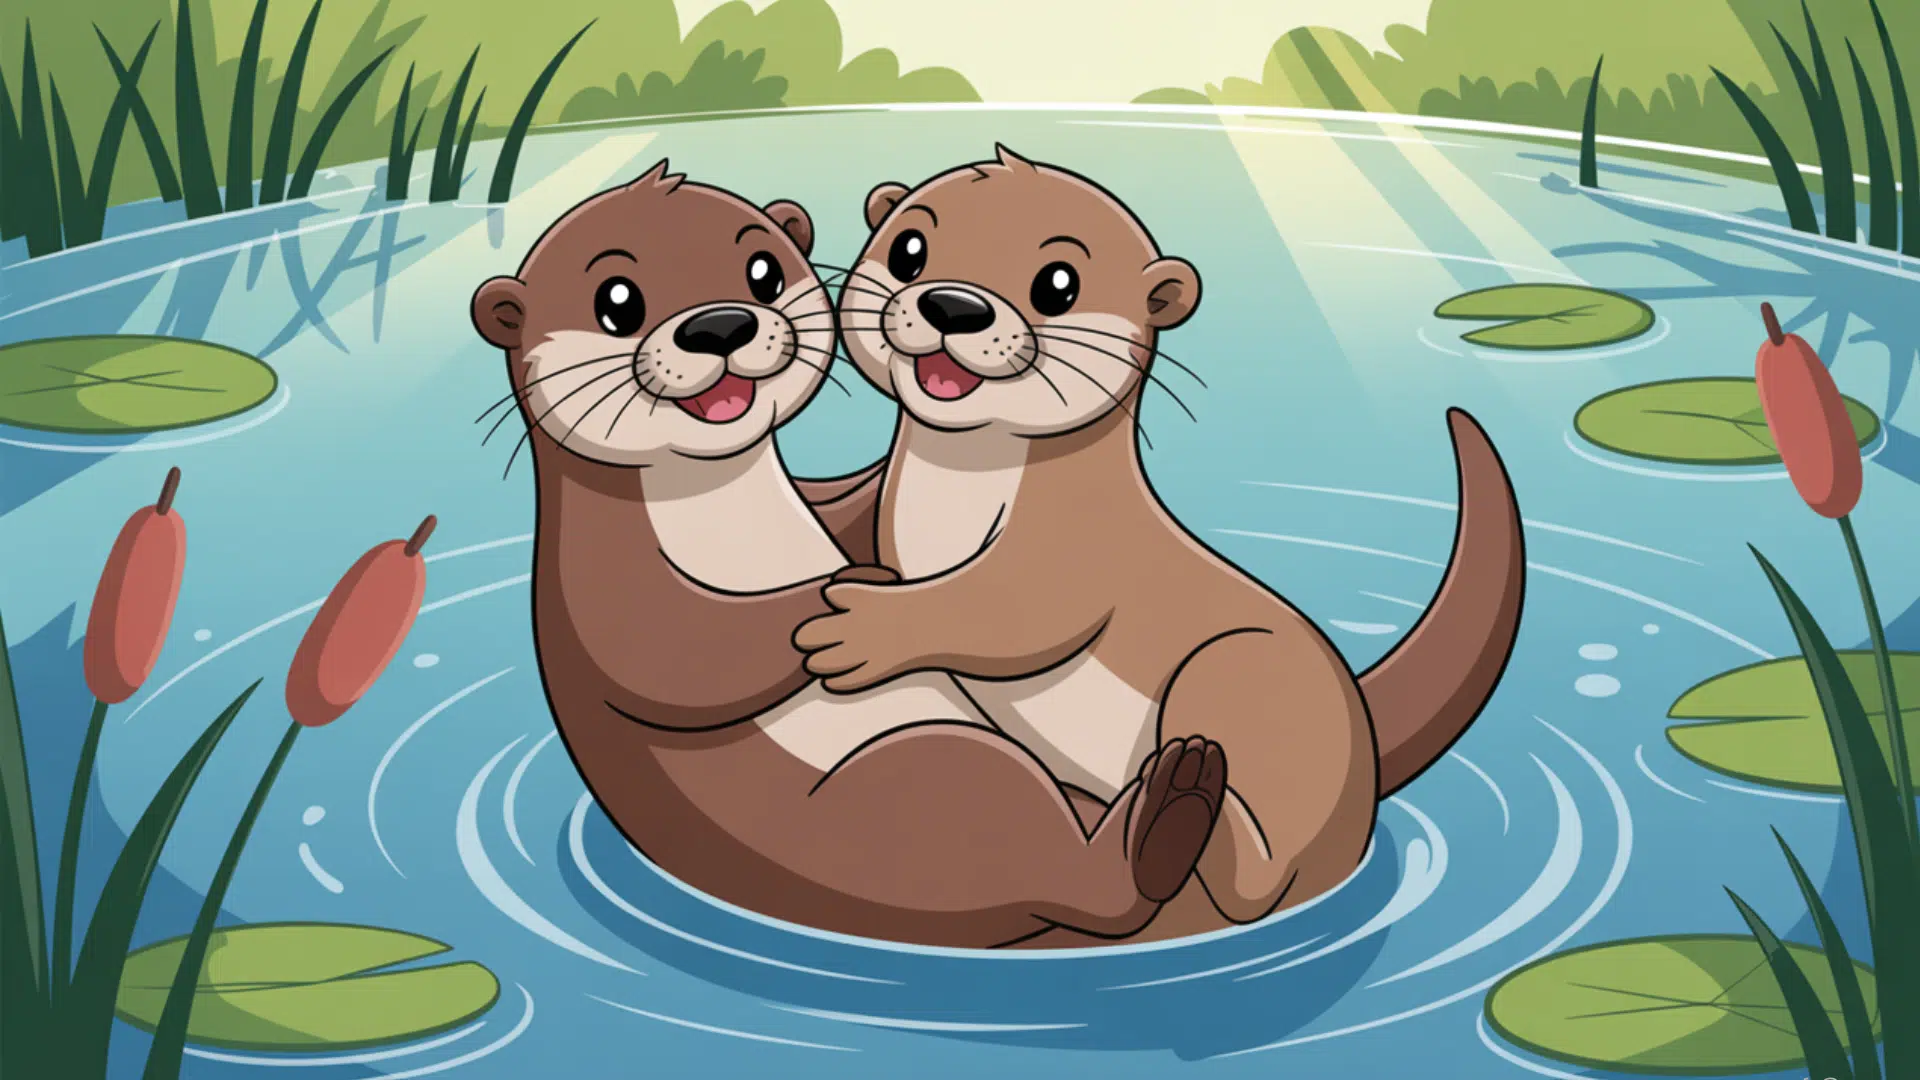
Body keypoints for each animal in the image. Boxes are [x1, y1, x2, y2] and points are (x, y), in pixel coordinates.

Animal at [469, 160, 1228, 949]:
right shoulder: (597, 580)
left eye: (763, 273)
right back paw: (1162, 820)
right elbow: (671, 657)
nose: (720, 324)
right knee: (1066, 876)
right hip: (916, 785)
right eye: (616, 302)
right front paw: (846, 590)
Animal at [795, 145, 1526, 942]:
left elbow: (1007, 616)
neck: (958, 488)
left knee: (1262, 880)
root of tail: (1359, 724)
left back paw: (1188, 810)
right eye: (909, 250)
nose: (954, 306)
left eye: (1058, 284)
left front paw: (864, 628)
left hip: (1239, 669)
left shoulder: (1072, 550)